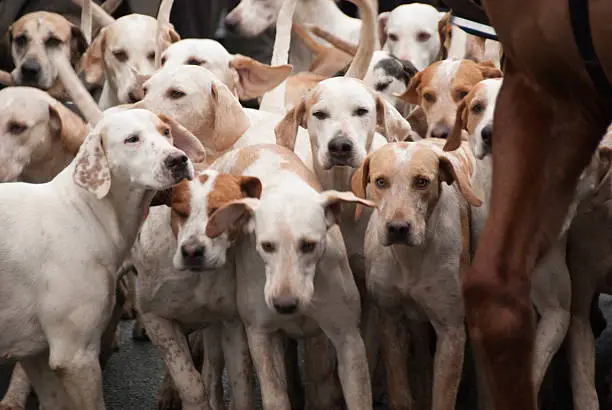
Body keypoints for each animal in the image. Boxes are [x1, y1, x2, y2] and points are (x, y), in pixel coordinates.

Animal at [0, 109, 203, 410]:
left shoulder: (35, 354)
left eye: (166, 131)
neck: (83, 211)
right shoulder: (76, 356)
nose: (178, 159)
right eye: (132, 139)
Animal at [206, 144, 372, 410]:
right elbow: (275, 396)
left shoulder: (348, 338)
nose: (284, 305)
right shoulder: (260, 335)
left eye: (309, 245)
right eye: (266, 246)